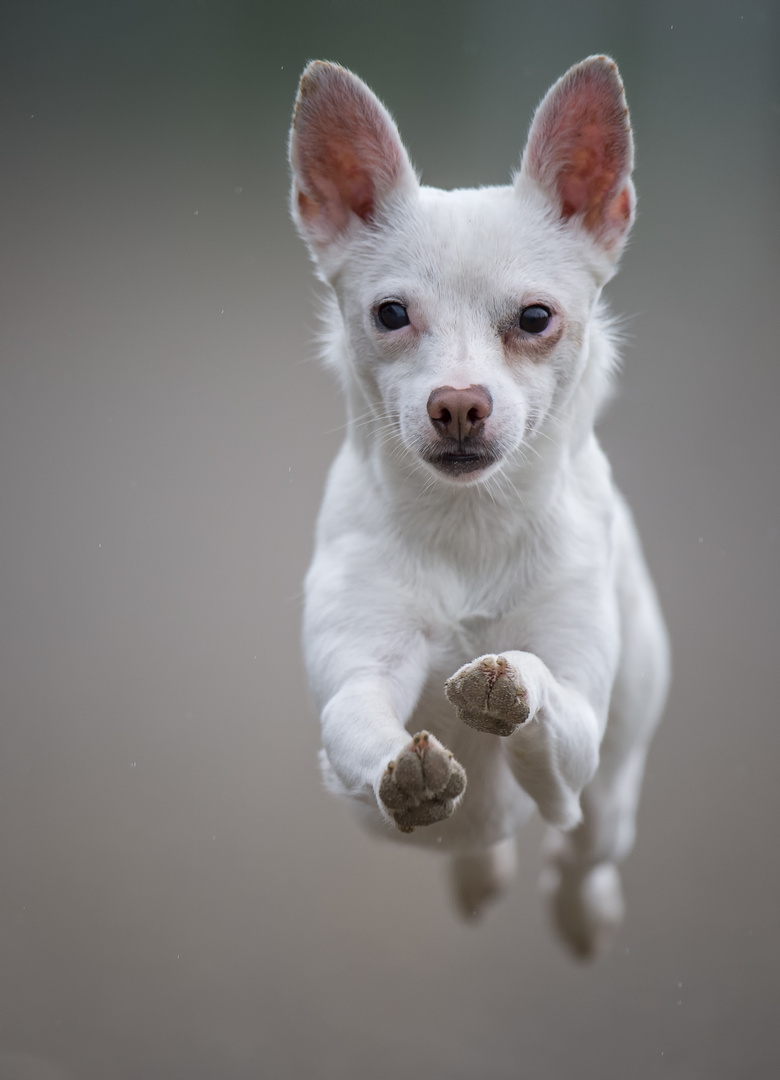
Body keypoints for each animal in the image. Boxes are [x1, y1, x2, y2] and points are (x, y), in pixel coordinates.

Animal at [289, 54, 665, 959]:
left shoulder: (577, 727)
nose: (458, 403)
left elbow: (541, 693)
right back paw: (477, 869)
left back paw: (583, 909)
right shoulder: (360, 674)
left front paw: (505, 681)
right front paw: (411, 774)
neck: (468, 528)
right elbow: (363, 725)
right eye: (391, 314)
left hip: (612, 787)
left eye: (534, 318)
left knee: (584, 849)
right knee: (479, 839)